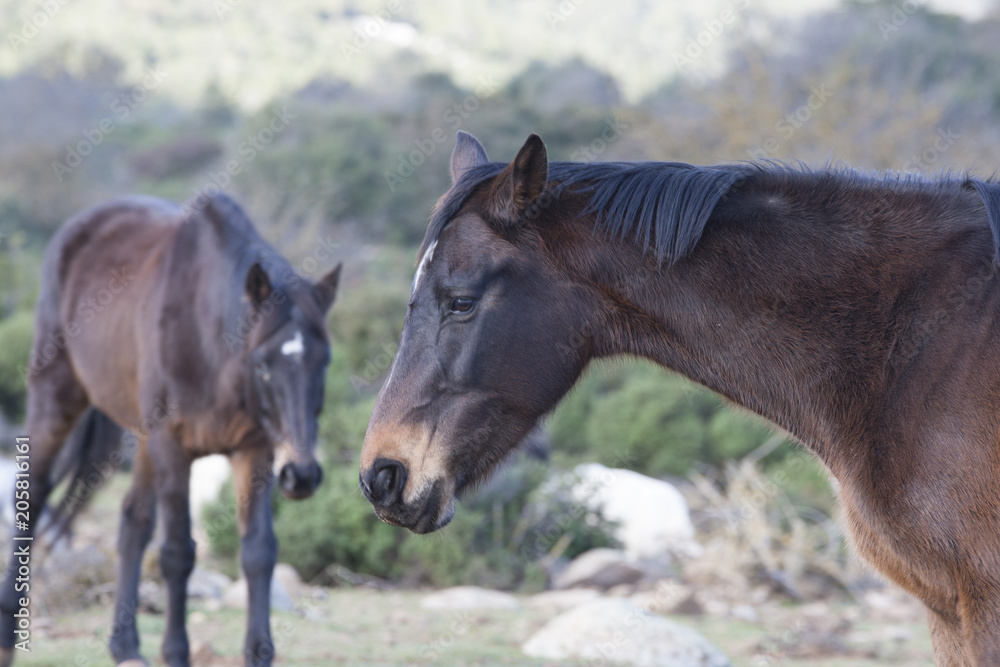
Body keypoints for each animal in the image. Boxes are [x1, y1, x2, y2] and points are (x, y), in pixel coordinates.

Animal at [0, 193, 340, 667]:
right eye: (262, 364)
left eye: (324, 361)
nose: (302, 475)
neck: (209, 338)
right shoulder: (173, 449)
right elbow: (178, 552)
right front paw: (176, 652)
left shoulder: (254, 450)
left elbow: (258, 550)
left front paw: (259, 652)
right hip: (57, 401)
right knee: (32, 500)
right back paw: (8, 635)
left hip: (142, 440)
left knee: (132, 521)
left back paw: (125, 647)